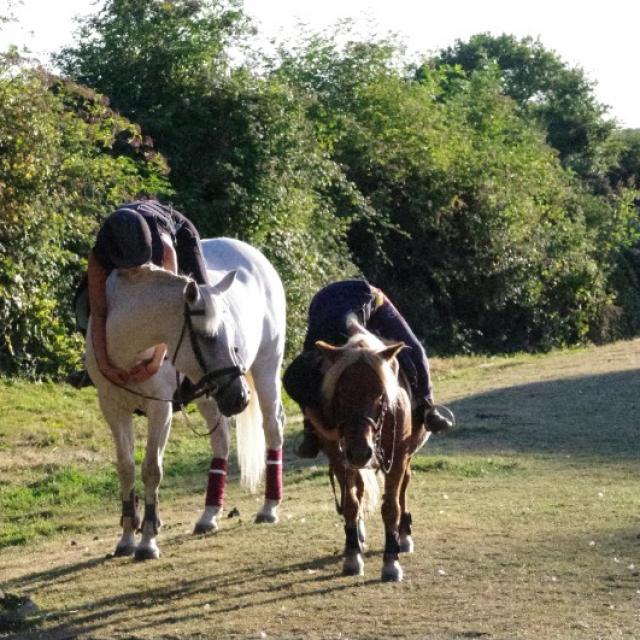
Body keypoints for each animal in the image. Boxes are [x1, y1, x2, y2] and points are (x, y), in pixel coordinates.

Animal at [86, 236, 286, 560]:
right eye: (207, 336)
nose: (240, 397)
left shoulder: (160, 409)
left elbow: (151, 469)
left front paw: (148, 540)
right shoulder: (112, 408)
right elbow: (126, 468)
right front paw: (127, 537)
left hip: (266, 368)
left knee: (273, 429)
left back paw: (269, 507)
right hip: (210, 394)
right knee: (221, 442)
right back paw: (209, 514)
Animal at [312, 324, 428, 580]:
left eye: (380, 394)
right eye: (340, 394)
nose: (359, 451)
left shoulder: (398, 457)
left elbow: (391, 507)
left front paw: (391, 562)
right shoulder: (339, 457)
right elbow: (350, 504)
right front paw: (353, 556)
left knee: (404, 487)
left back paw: (403, 536)